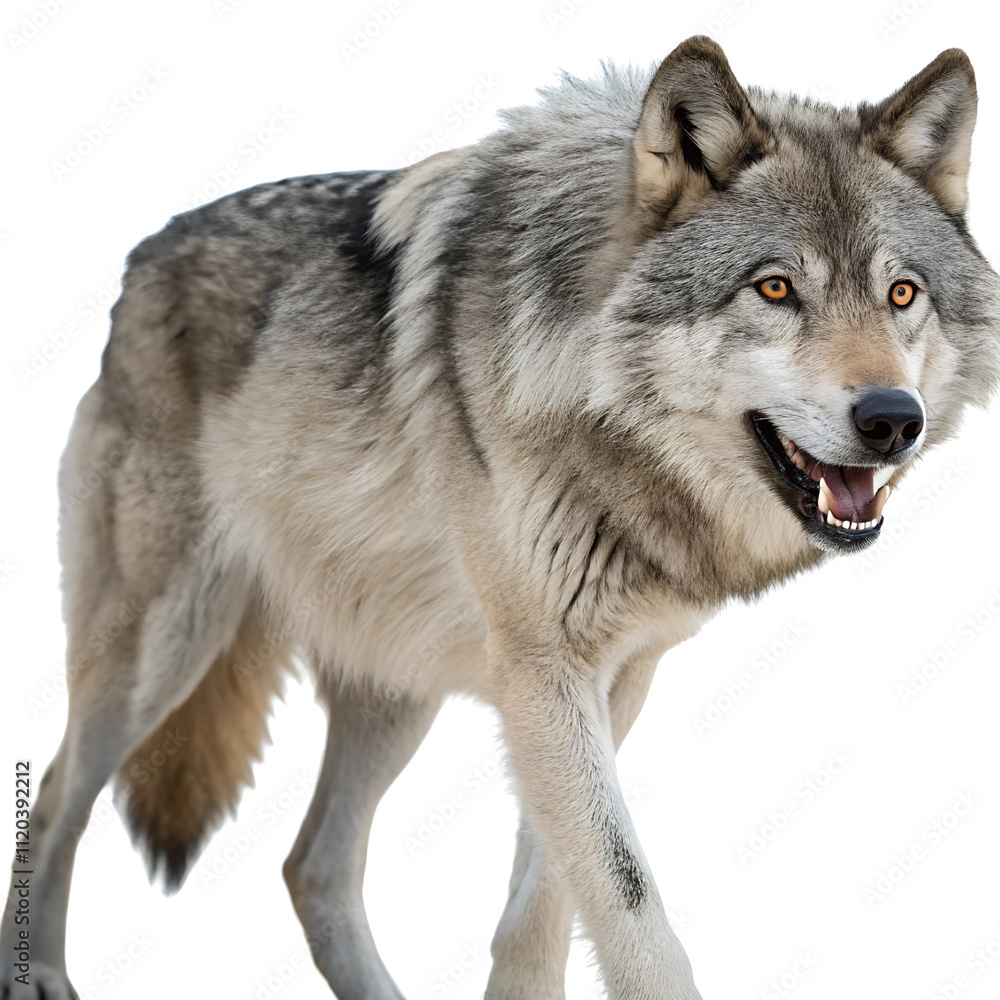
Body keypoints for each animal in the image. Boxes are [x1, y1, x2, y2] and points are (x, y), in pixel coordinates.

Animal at [3, 34, 999, 1000]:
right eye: (777, 289)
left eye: (902, 294)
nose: (892, 419)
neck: (594, 410)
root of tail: (139, 261)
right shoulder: (543, 671)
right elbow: (627, 902)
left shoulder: (607, 677)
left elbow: (554, 892)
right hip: (161, 650)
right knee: (53, 798)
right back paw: (43, 972)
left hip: (395, 688)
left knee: (311, 866)